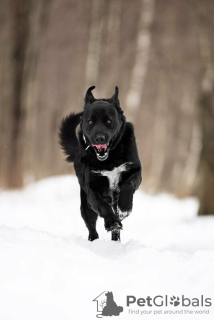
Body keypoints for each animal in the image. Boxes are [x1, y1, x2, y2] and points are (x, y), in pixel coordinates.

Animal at [59, 86, 141, 241]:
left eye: (109, 121)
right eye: (90, 122)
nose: (99, 138)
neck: (110, 159)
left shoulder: (134, 171)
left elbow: (128, 185)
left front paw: (124, 208)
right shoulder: (93, 187)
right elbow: (103, 206)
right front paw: (112, 222)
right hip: (85, 205)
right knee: (91, 227)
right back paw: (95, 239)